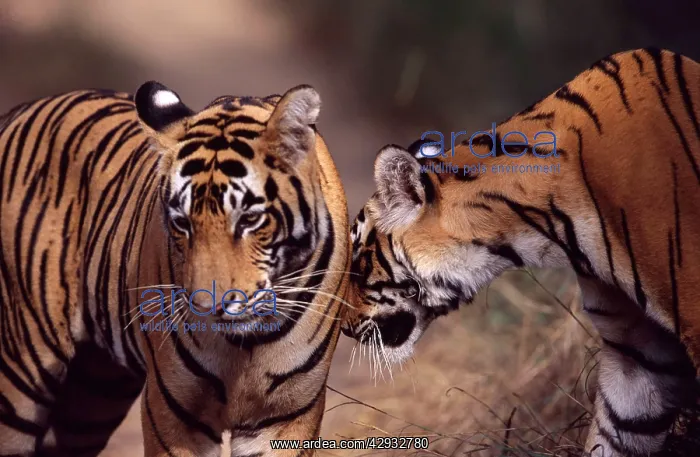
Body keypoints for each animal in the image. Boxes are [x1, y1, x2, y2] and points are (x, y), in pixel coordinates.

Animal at [0, 80, 350, 456]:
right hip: (22, 371)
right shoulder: (174, 413)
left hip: (94, 397)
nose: (210, 308)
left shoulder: (289, 416)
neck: (247, 347)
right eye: (182, 223)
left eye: (249, 219)